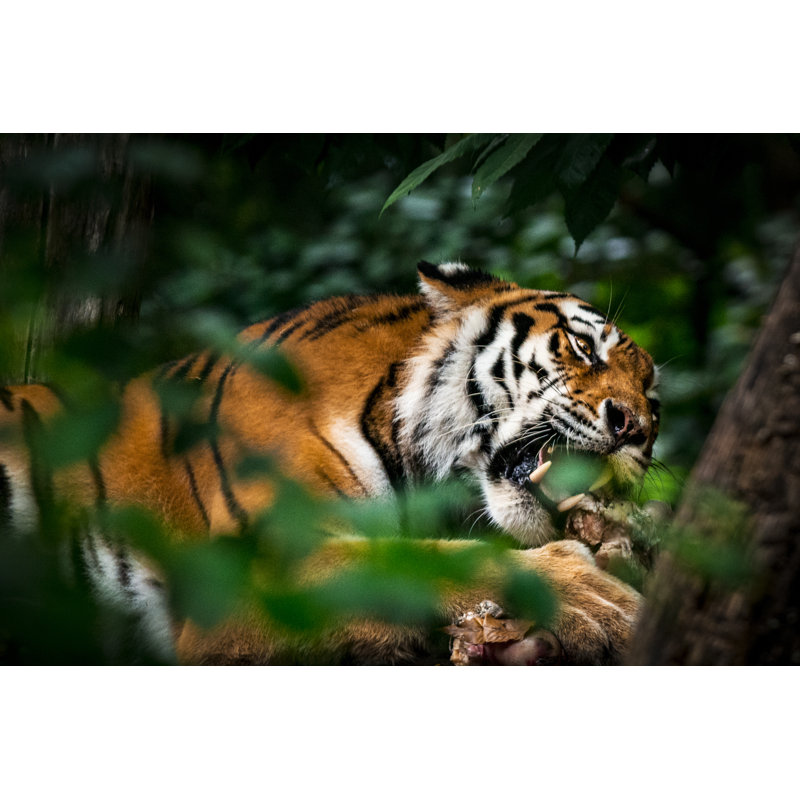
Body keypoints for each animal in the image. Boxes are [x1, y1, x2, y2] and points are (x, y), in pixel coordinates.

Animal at [0, 261, 659, 665]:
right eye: (582, 346)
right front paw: (595, 600)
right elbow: (424, 564)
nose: (636, 430)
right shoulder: (246, 576)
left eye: (654, 400)